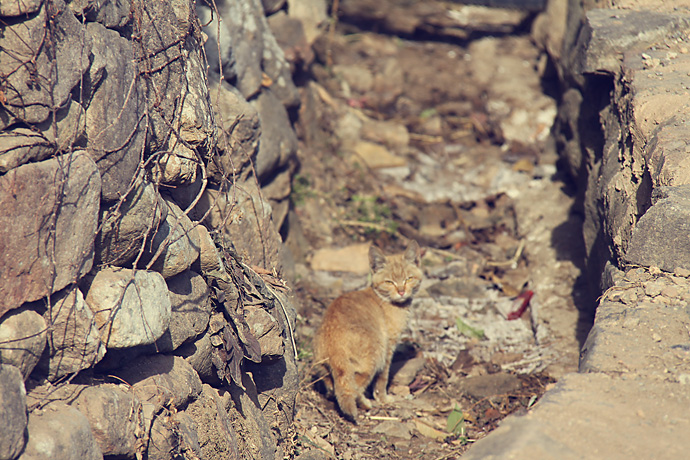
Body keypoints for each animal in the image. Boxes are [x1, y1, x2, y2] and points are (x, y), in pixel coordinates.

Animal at [310, 243, 420, 422]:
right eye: (389, 282)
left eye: (409, 279)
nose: (401, 291)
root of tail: (334, 338)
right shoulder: (388, 347)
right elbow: (383, 378)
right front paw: (383, 398)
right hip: (374, 358)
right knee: (355, 388)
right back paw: (365, 403)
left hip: (323, 367)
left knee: (334, 386)